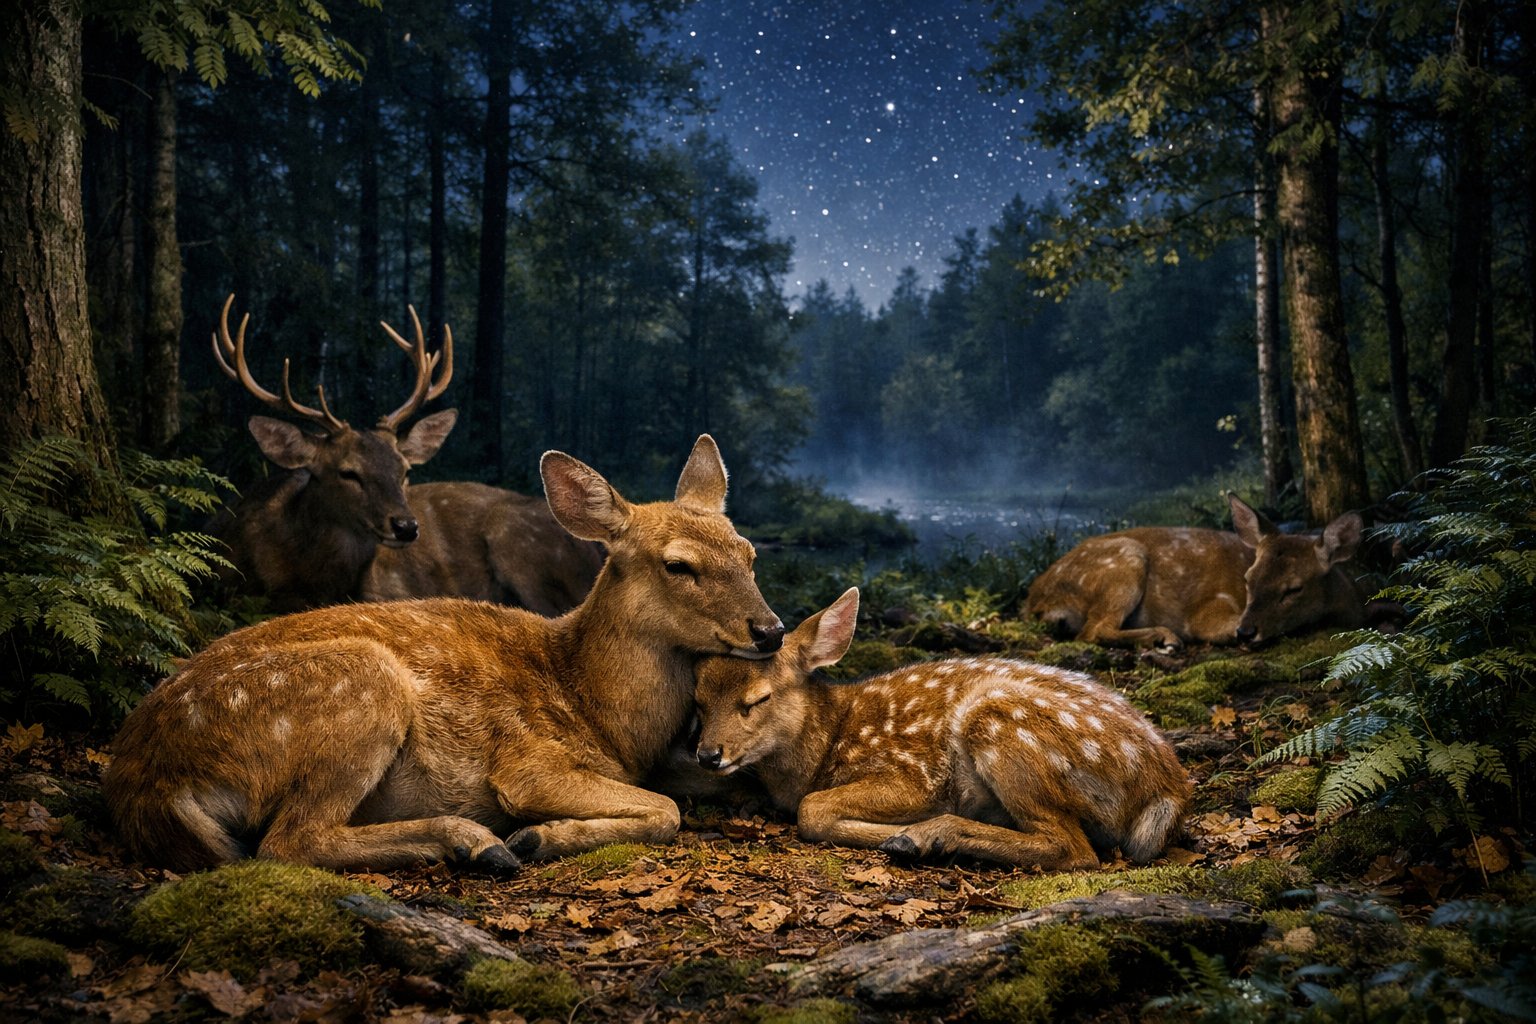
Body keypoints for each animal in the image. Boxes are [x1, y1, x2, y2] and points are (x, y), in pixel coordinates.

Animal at [103, 435, 785, 875]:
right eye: (678, 565)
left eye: (750, 553)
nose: (770, 630)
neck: (599, 708)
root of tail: (147, 784)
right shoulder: (528, 761)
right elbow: (666, 810)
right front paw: (539, 835)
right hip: (359, 686)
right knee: (288, 842)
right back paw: (478, 842)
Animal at [690, 588, 1190, 869]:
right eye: (697, 698)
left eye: (757, 699)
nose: (708, 754)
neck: (827, 742)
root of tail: (1167, 789)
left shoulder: (915, 775)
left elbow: (810, 810)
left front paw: (898, 833)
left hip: (1001, 725)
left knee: (1073, 849)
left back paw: (924, 837)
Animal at [1023, 494, 1384, 649]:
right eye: (1248, 580)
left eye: (1294, 588)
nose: (1245, 631)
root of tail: (1034, 600)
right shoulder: (1208, 609)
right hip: (1126, 561)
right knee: (1093, 630)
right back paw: (1165, 637)